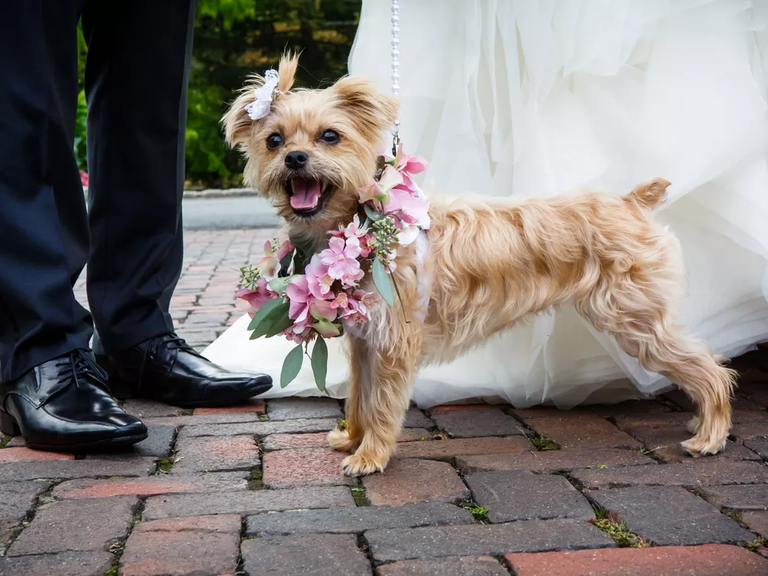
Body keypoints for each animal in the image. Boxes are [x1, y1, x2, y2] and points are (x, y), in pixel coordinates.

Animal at [222, 54, 732, 476]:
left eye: (330, 135)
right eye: (273, 140)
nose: (294, 157)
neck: (362, 222)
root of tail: (631, 202)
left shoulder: (394, 345)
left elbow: (382, 405)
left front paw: (370, 456)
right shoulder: (365, 344)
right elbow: (359, 400)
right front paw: (353, 440)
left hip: (637, 322)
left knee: (710, 368)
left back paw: (710, 434)